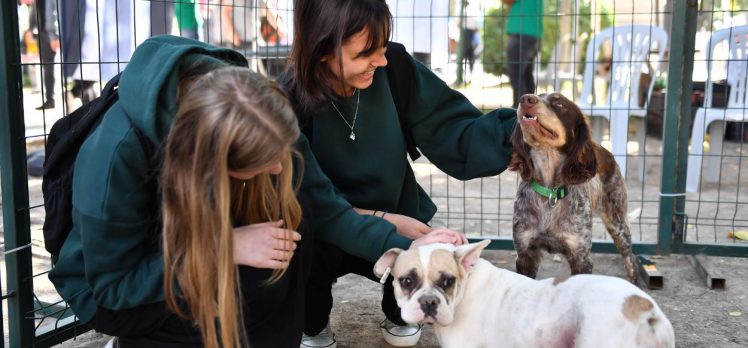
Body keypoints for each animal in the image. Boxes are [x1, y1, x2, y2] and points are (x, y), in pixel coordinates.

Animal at [512, 93, 640, 286]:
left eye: (559, 104)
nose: (526, 99)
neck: (550, 193)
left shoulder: (581, 257)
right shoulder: (525, 253)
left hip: (618, 224)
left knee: (630, 260)